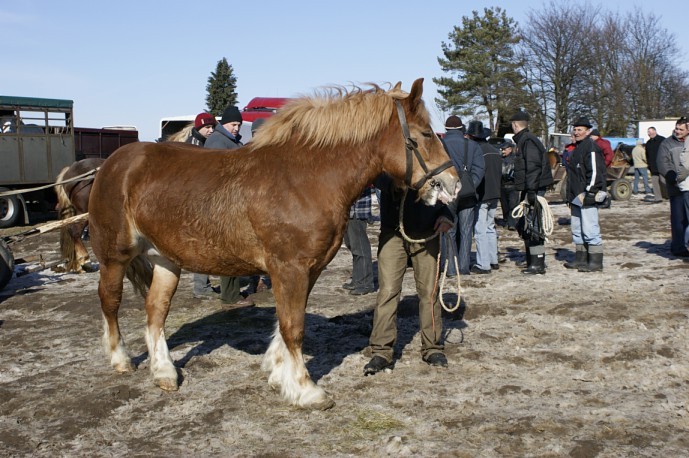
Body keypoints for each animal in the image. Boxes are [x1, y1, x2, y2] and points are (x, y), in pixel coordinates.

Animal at [88, 78, 460, 408]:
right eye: (426, 134)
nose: (453, 184)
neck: (306, 179)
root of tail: (113, 163)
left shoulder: (308, 269)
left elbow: (289, 324)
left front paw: (278, 375)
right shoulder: (289, 267)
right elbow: (293, 327)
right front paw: (306, 390)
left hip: (166, 259)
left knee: (156, 310)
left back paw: (164, 372)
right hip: (114, 256)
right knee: (110, 302)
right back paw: (121, 359)